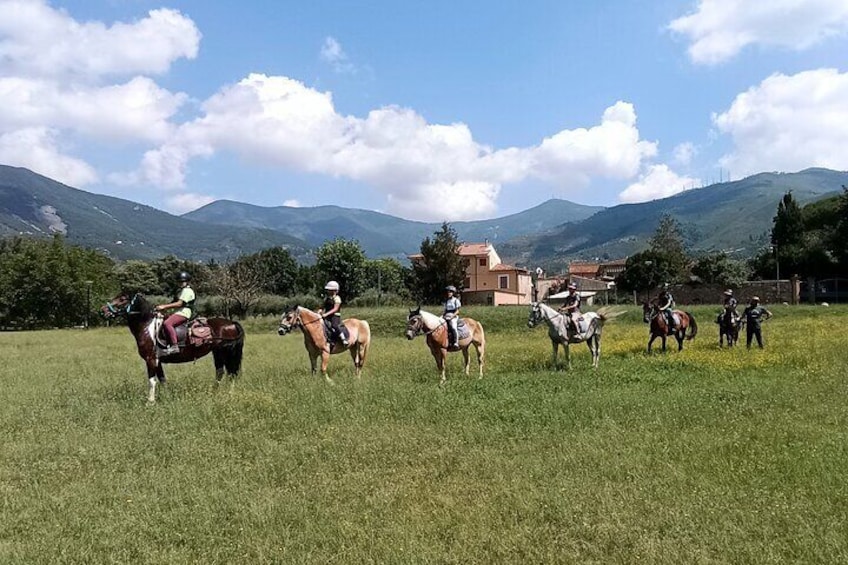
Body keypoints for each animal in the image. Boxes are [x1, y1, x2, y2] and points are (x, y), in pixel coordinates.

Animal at [102, 294, 245, 404]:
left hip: (225, 352)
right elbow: (162, 380)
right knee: (223, 372)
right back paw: (215, 393)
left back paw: (227, 394)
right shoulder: (157, 361)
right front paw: (166, 397)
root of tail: (231, 323)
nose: (103, 309)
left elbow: (152, 380)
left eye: (122, 299)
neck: (147, 327)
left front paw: (150, 402)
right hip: (219, 353)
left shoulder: (150, 359)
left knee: (229, 372)